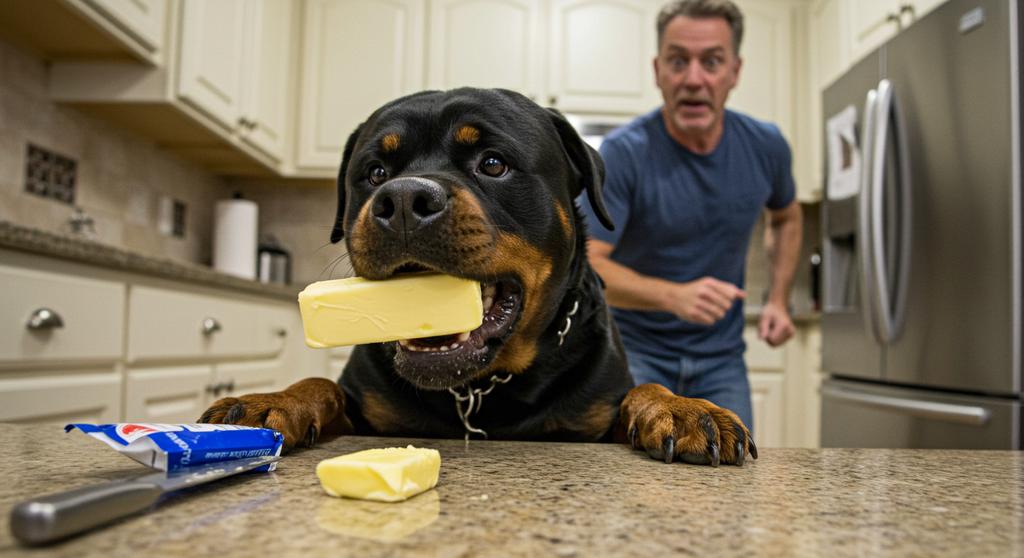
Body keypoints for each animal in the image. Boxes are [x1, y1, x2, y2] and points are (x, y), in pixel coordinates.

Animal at [203, 88, 757, 464]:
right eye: (376, 172)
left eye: (493, 163)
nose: (402, 199)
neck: (479, 391)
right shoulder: (366, 410)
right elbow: (321, 382)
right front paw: (268, 401)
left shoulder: (598, 418)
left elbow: (644, 390)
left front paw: (683, 408)